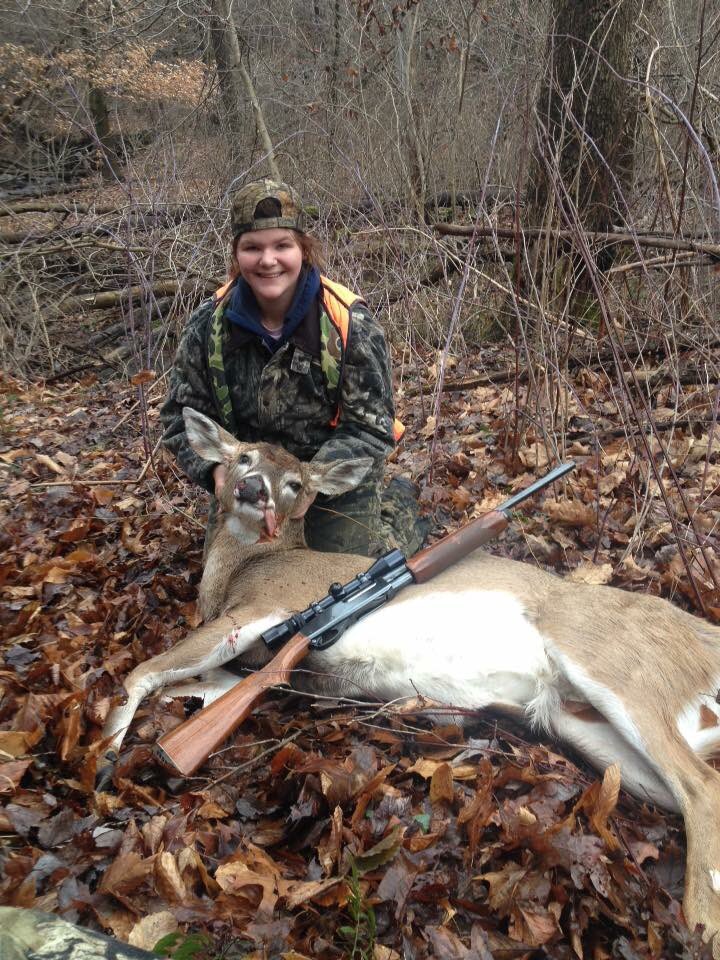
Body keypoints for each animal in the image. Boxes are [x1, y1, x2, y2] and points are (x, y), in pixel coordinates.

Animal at [100, 408, 720, 953]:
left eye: (295, 482)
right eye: (242, 455)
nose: (254, 488)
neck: (238, 573)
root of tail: (699, 634)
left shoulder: (262, 608)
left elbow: (141, 671)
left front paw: (105, 761)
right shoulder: (259, 666)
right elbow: (182, 687)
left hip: (610, 663)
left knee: (701, 786)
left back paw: (697, 927)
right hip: (589, 728)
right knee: (689, 787)